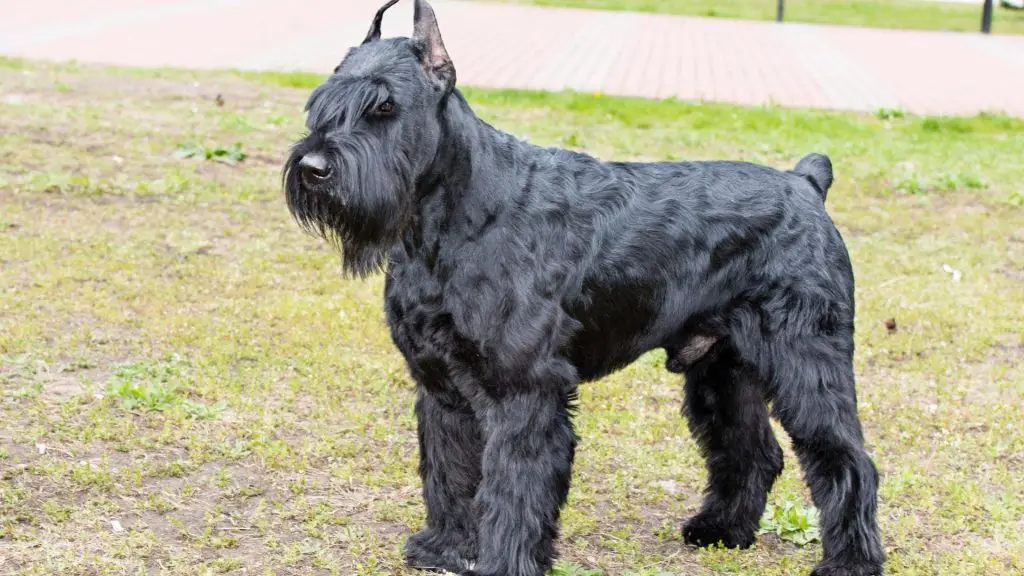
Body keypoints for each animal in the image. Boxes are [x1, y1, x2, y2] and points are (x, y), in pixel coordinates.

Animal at [284, 2, 884, 569]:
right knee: (752, 451)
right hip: (723, 369)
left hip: (808, 364)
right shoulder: (441, 388)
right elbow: (450, 474)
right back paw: (721, 531)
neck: (449, 220)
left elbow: (513, 491)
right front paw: (447, 548)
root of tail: (805, 183)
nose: (313, 167)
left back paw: (850, 562)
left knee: (848, 460)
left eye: (384, 107)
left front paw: (504, 562)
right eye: (322, 103)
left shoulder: (524, 393)